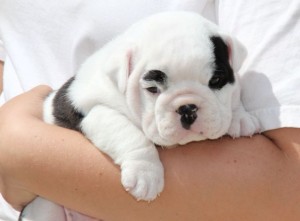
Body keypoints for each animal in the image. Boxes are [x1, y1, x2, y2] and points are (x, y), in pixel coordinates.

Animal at [19, 11, 258, 221]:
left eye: (216, 81)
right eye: (152, 89)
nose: (187, 108)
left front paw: (240, 117)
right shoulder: (93, 110)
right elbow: (128, 133)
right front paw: (146, 173)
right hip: (45, 208)